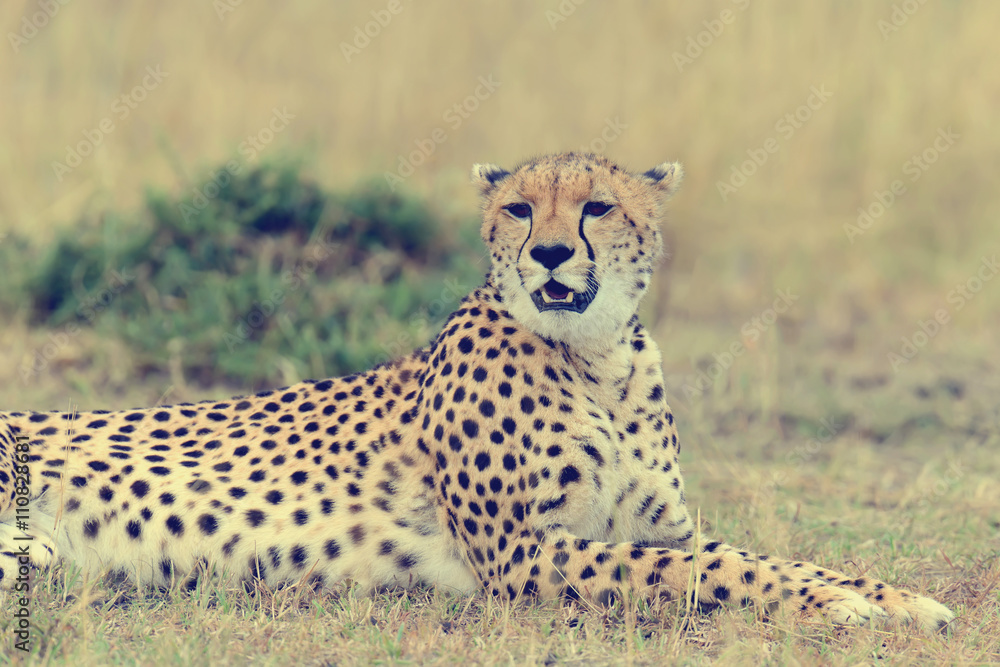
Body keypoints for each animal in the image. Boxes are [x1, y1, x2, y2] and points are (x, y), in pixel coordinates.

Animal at [0, 152, 955, 632]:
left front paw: (890, 595)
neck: (598, 360)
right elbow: (703, 566)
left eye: (597, 207)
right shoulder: (523, 553)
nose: (552, 254)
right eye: (521, 210)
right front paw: (849, 603)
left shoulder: (650, 524)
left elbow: (749, 554)